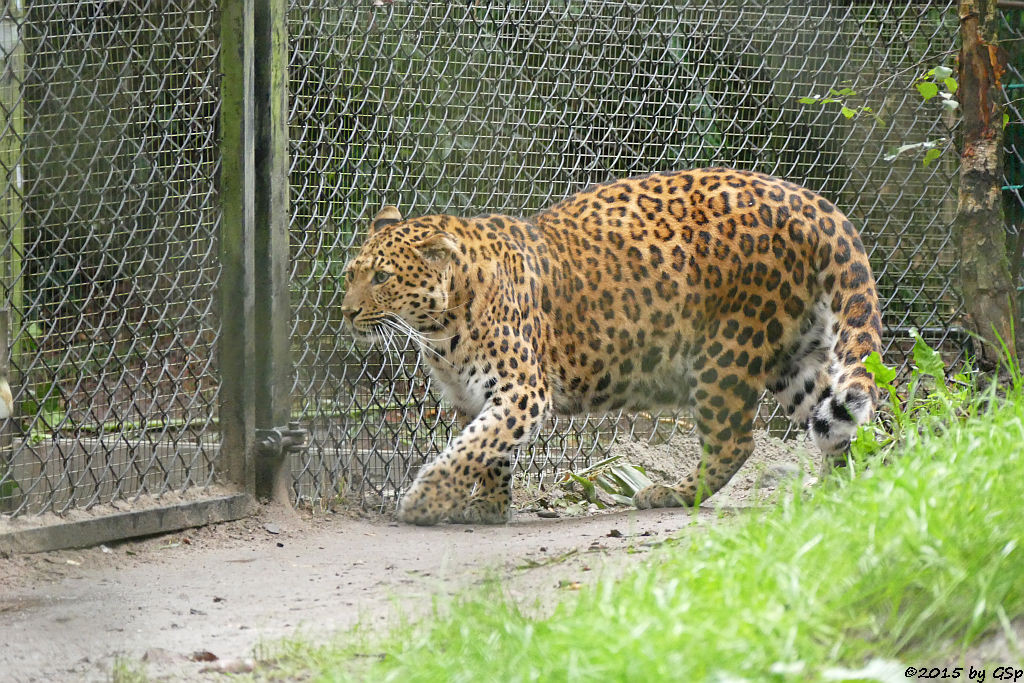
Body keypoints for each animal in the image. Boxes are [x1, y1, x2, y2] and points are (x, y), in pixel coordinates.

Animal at [339, 167, 884, 528]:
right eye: (350, 275)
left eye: (382, 278)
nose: (346, 312)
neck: (440, 328)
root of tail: (809, 201)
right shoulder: (471, 396)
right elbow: (488, 449)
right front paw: (489, 508)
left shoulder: (523, 391)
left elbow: (474, 445)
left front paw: (425, 501)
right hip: (795, 358)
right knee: (840, 425)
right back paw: (842, 494)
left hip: (727, 351)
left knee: (736, 441)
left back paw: (667, 494)